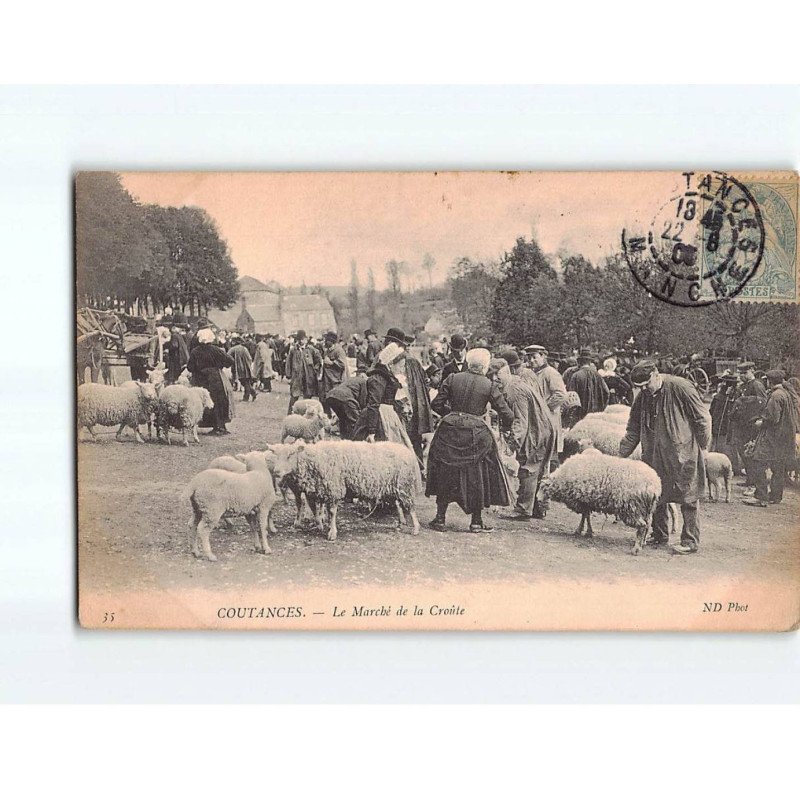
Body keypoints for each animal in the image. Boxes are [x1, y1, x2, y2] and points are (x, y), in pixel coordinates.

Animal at [268, 440, 422, 540]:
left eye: (290, 454)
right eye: (275, 455)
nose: (276, 472)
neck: (315, 458)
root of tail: (407, 451)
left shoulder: (333, 488)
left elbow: (331, 512)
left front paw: (331, 533)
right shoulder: (315, 489)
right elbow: (313, 508)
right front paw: (318, 524)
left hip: (404, 484)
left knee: (411, 507)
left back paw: (415, 528)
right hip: (395, 486)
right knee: (399, 504)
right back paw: (401, 522)